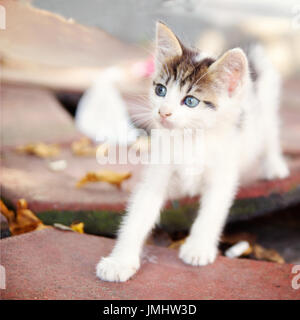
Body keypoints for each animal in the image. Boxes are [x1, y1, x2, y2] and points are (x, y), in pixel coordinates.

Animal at [95, 21, 288, 282]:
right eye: (161, 90)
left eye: (190, 101)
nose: (163, 112)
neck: (191, 139)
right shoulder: (157, 173)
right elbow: (138, 215)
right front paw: (120, 261)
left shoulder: (222, 174)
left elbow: (212, 211)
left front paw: (198, 248)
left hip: (265, 110)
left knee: (270, 133)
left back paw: (274, 165)